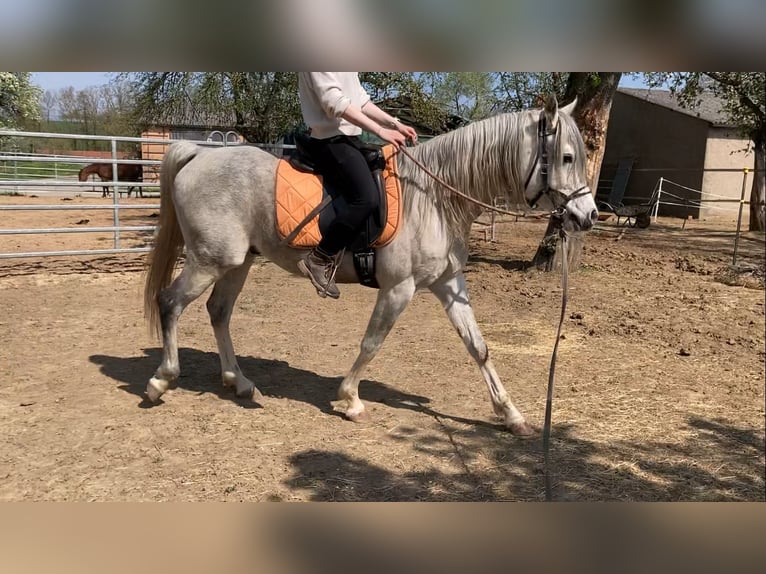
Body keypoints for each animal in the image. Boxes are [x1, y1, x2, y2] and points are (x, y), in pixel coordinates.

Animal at [143, 95, 598, 436]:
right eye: (567, 157)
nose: (588, 216)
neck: (433, 197)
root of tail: (198, 153)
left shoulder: (449, 282)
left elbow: (479, 347)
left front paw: (511, 414)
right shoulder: (400, 288)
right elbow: (372, 342)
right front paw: (350, 399)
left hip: (237, 263)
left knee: (218, 312)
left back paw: (240, 383)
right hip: (209, 260)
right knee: (170, 303)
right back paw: (161, 379)